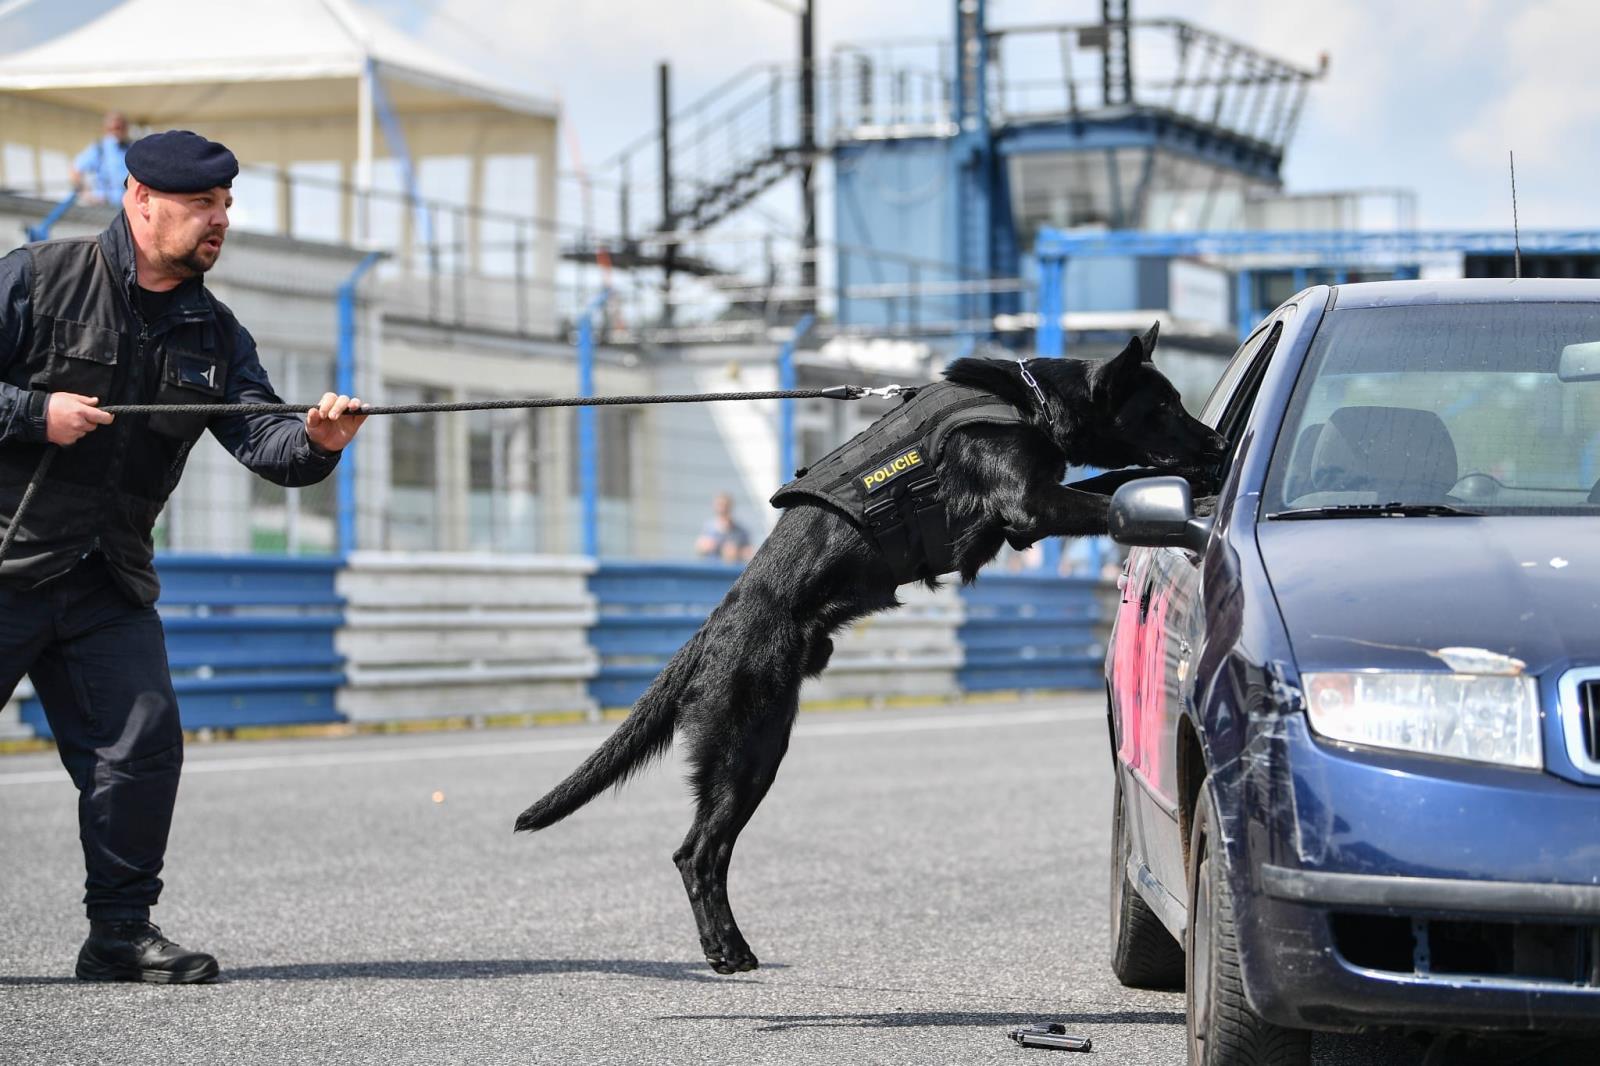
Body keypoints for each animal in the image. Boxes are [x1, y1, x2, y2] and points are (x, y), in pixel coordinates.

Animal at [515, 321, 1222, 973]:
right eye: (1163, 406)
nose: (1217, 443)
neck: (1031, 400)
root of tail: (713, 629)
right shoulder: (1031, 507)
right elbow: (1104, 496)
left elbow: (1121, 477)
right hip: (750, 750)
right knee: (698, 853)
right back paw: (728, 949)